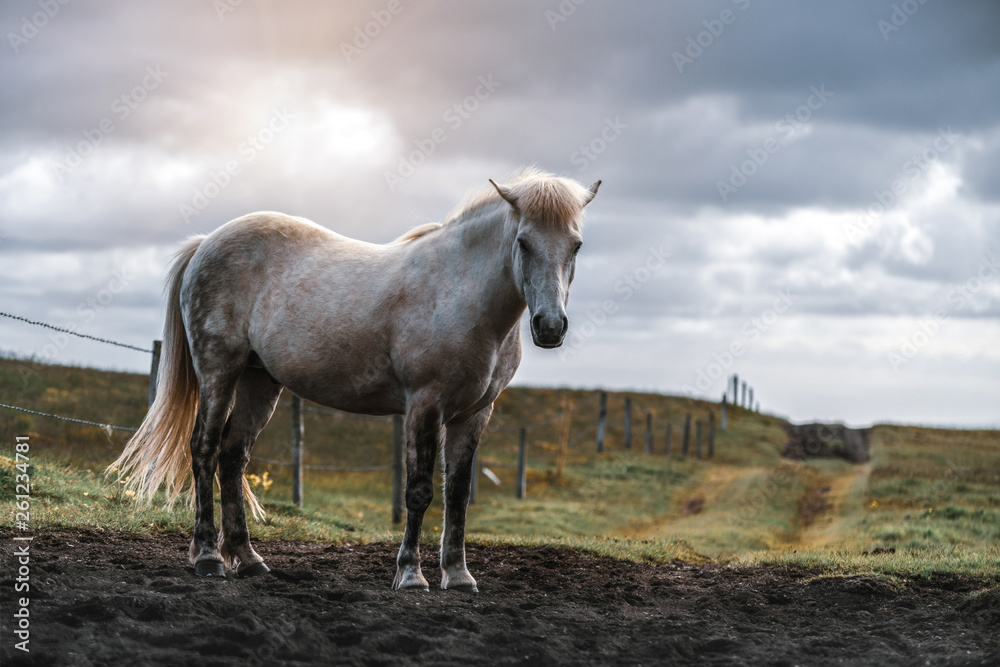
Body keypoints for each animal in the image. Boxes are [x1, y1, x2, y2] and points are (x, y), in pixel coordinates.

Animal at [108, 170, 596, 592]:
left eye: (576, 245)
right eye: (523, 242)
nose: (550, 326)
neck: (462, 293)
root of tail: (205, 244)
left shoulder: (474, 414)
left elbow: (457, 494)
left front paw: (458, 577)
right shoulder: (424, 405)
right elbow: (419, 492)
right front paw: (411, 576)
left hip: (259, 382)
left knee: (232, 457)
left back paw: (248, 561)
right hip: (219, 372)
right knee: (205, 450)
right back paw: (209, 557)